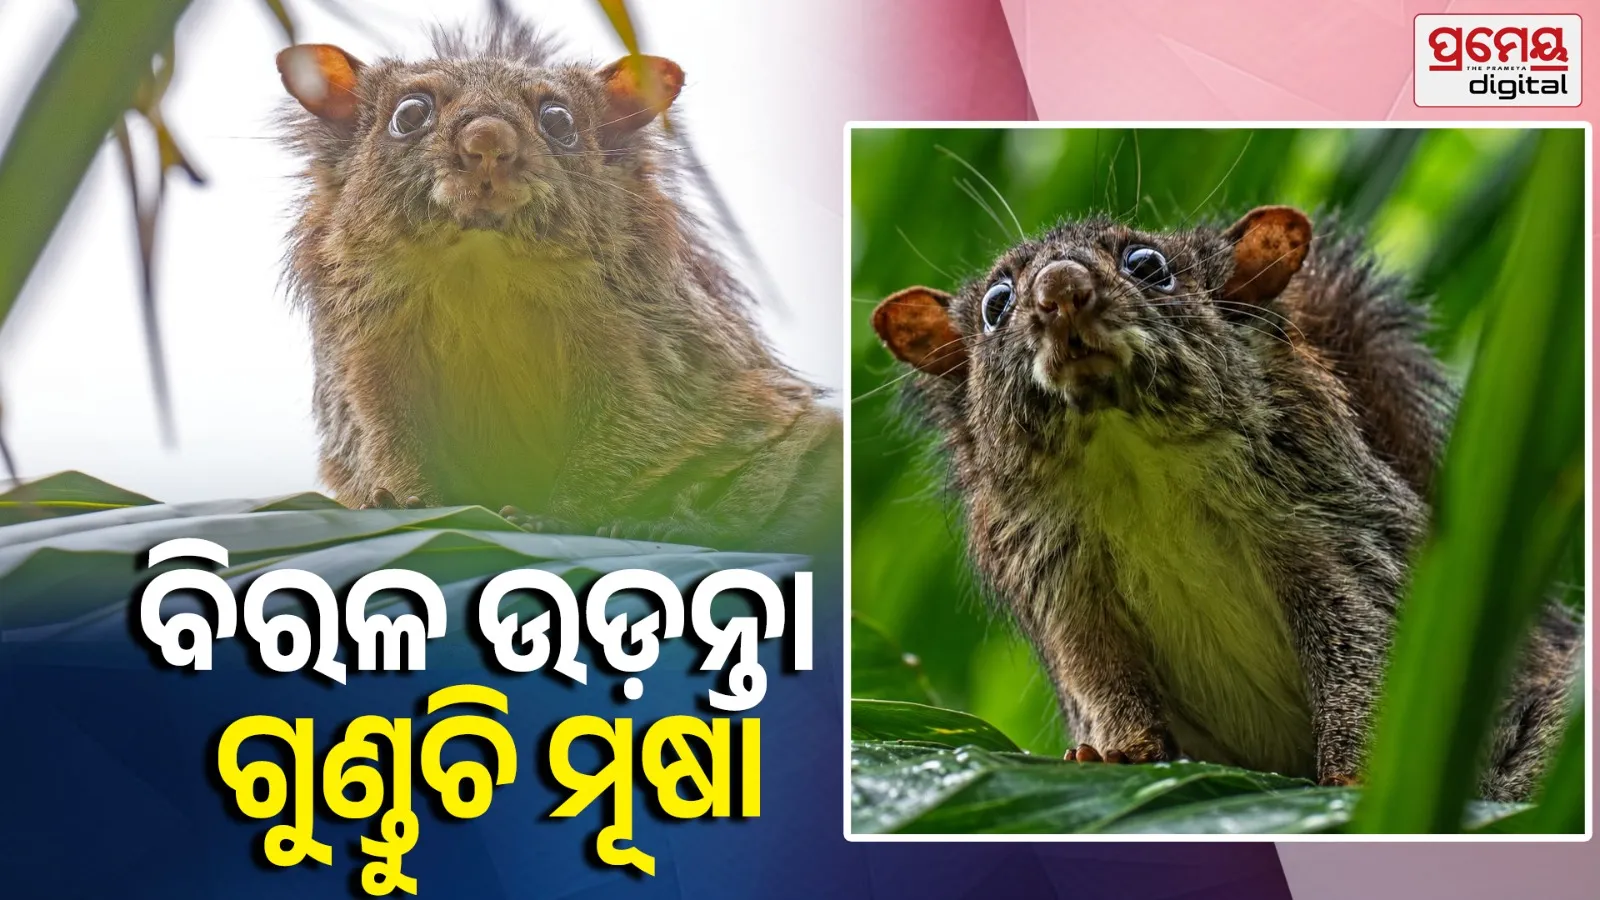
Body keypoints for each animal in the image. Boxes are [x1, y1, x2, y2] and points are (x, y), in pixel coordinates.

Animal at [272, 19, 840, 552]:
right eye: (409, 114)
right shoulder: (365, 362)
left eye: (559, 120)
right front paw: (402, 501)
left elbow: (626, 441)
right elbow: (384, 442)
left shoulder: (649, 356)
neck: (481, 272)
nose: (487, 142)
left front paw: (557, 518)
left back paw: (676, 524)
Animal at [871, 205, 1581, 801]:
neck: (1131, 464)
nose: (1061, 290)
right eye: (997, 304)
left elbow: (1359, 645)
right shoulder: (1056, 581)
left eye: (1147, 266)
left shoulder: (1332, 529)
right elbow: (1096, 673)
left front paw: (1356, 774)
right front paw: (1117, 752)